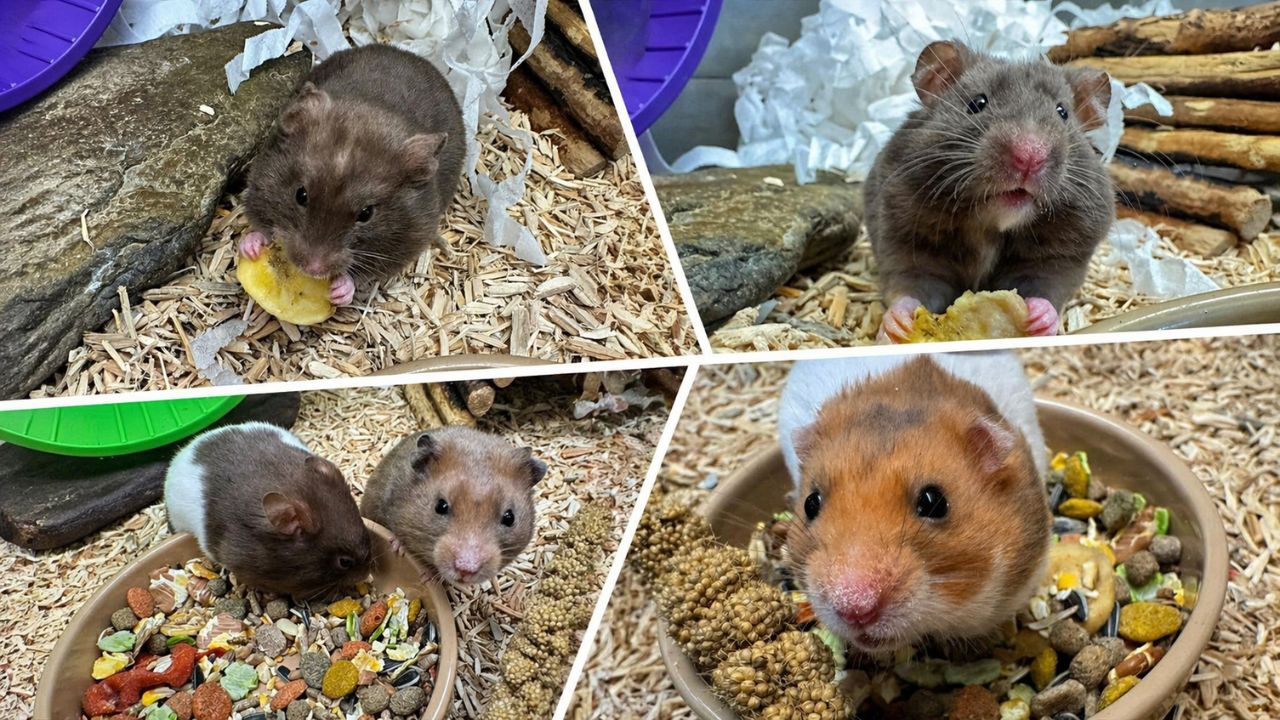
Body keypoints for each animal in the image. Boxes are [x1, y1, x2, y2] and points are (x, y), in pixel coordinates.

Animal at [242, 44, 466, 306]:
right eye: (301, 195)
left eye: (366, 214)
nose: (313, 269)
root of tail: (405, 52)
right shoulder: (259, 183)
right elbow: (259, 223)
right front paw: (250, 248)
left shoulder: (407, 241)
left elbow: (365, 273)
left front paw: (340, 291)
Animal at [865, 41, 1114, 342]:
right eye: (977, 103)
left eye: (1062, 112)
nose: (1030, 156)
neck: (990, 223)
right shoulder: (906, 239)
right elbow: (910, 287)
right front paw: (898, 326)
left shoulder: (1061, 256)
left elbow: (1047, 287)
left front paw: (1041, 320)